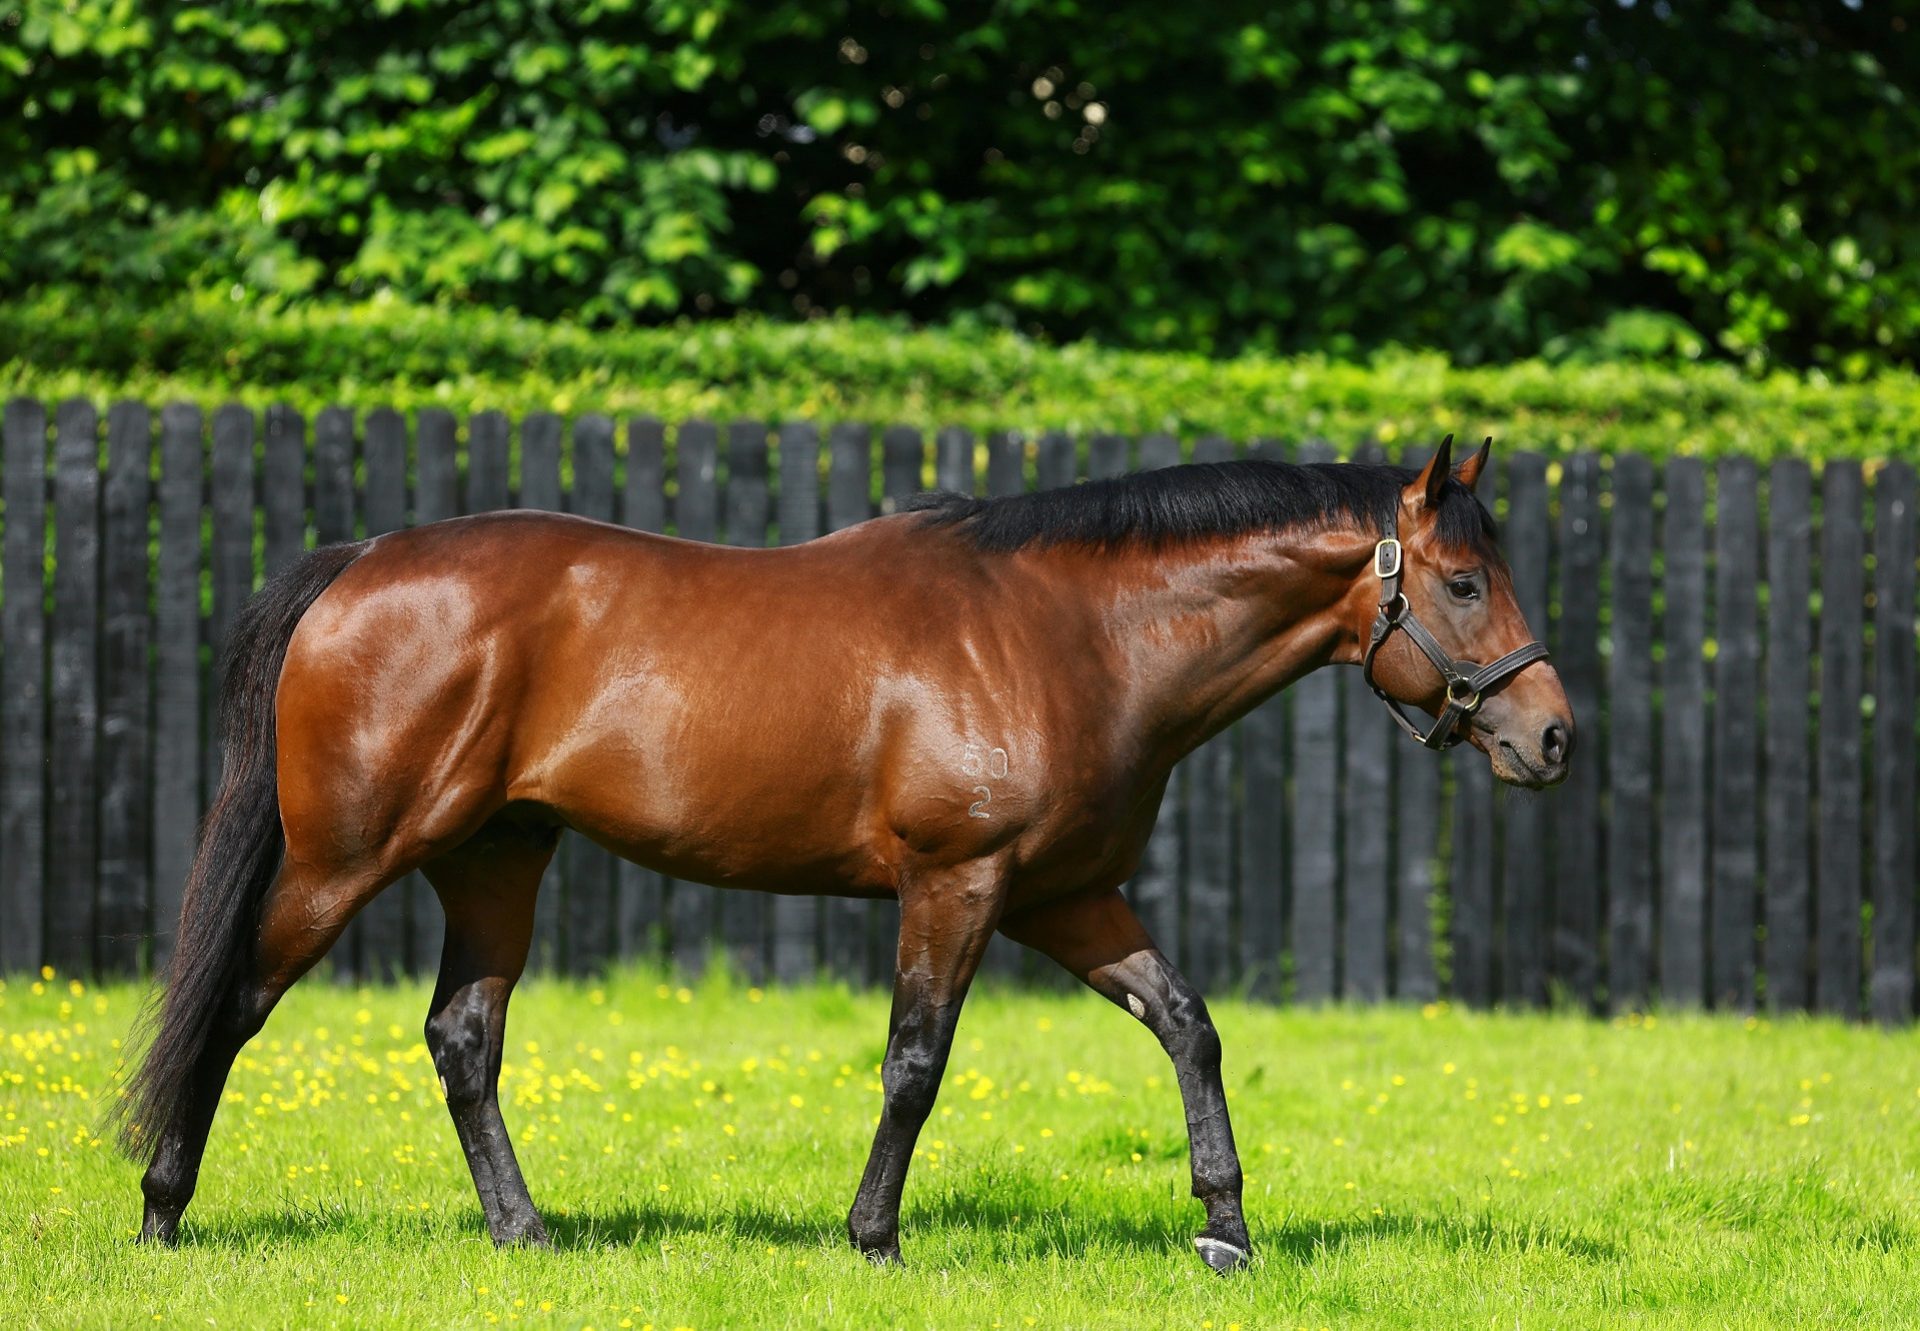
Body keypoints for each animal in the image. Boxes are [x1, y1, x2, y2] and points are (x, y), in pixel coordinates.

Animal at [112, 434, 1566, 1267]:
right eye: (1461, 582)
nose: (1550, 736)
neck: (1073, 634)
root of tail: (364, 560)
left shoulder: (1067, 895)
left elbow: (1188, 1025)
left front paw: (1226, 1226)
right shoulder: (958, 881)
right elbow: (916, 1062)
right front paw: (873, 1238)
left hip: (496, 858)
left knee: (463, 1034)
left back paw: (523, 1231)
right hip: (343, 857)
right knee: (233, 1003)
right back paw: (164, 1208)